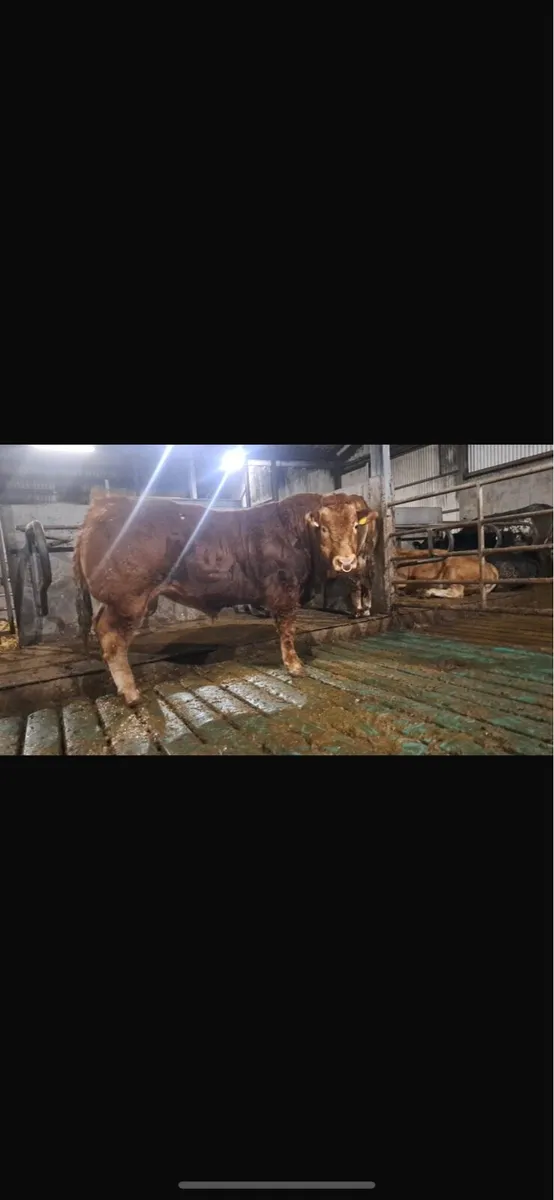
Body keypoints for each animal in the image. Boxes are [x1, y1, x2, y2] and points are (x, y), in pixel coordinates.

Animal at [74, 490, 378, 705]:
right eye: (323, 528)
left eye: (355, 526)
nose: (346, 562)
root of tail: (104, 505)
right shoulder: (285, 590)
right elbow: (287, 630)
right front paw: (294, 666)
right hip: (129, 599)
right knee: (112, 640)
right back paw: (131, 693)